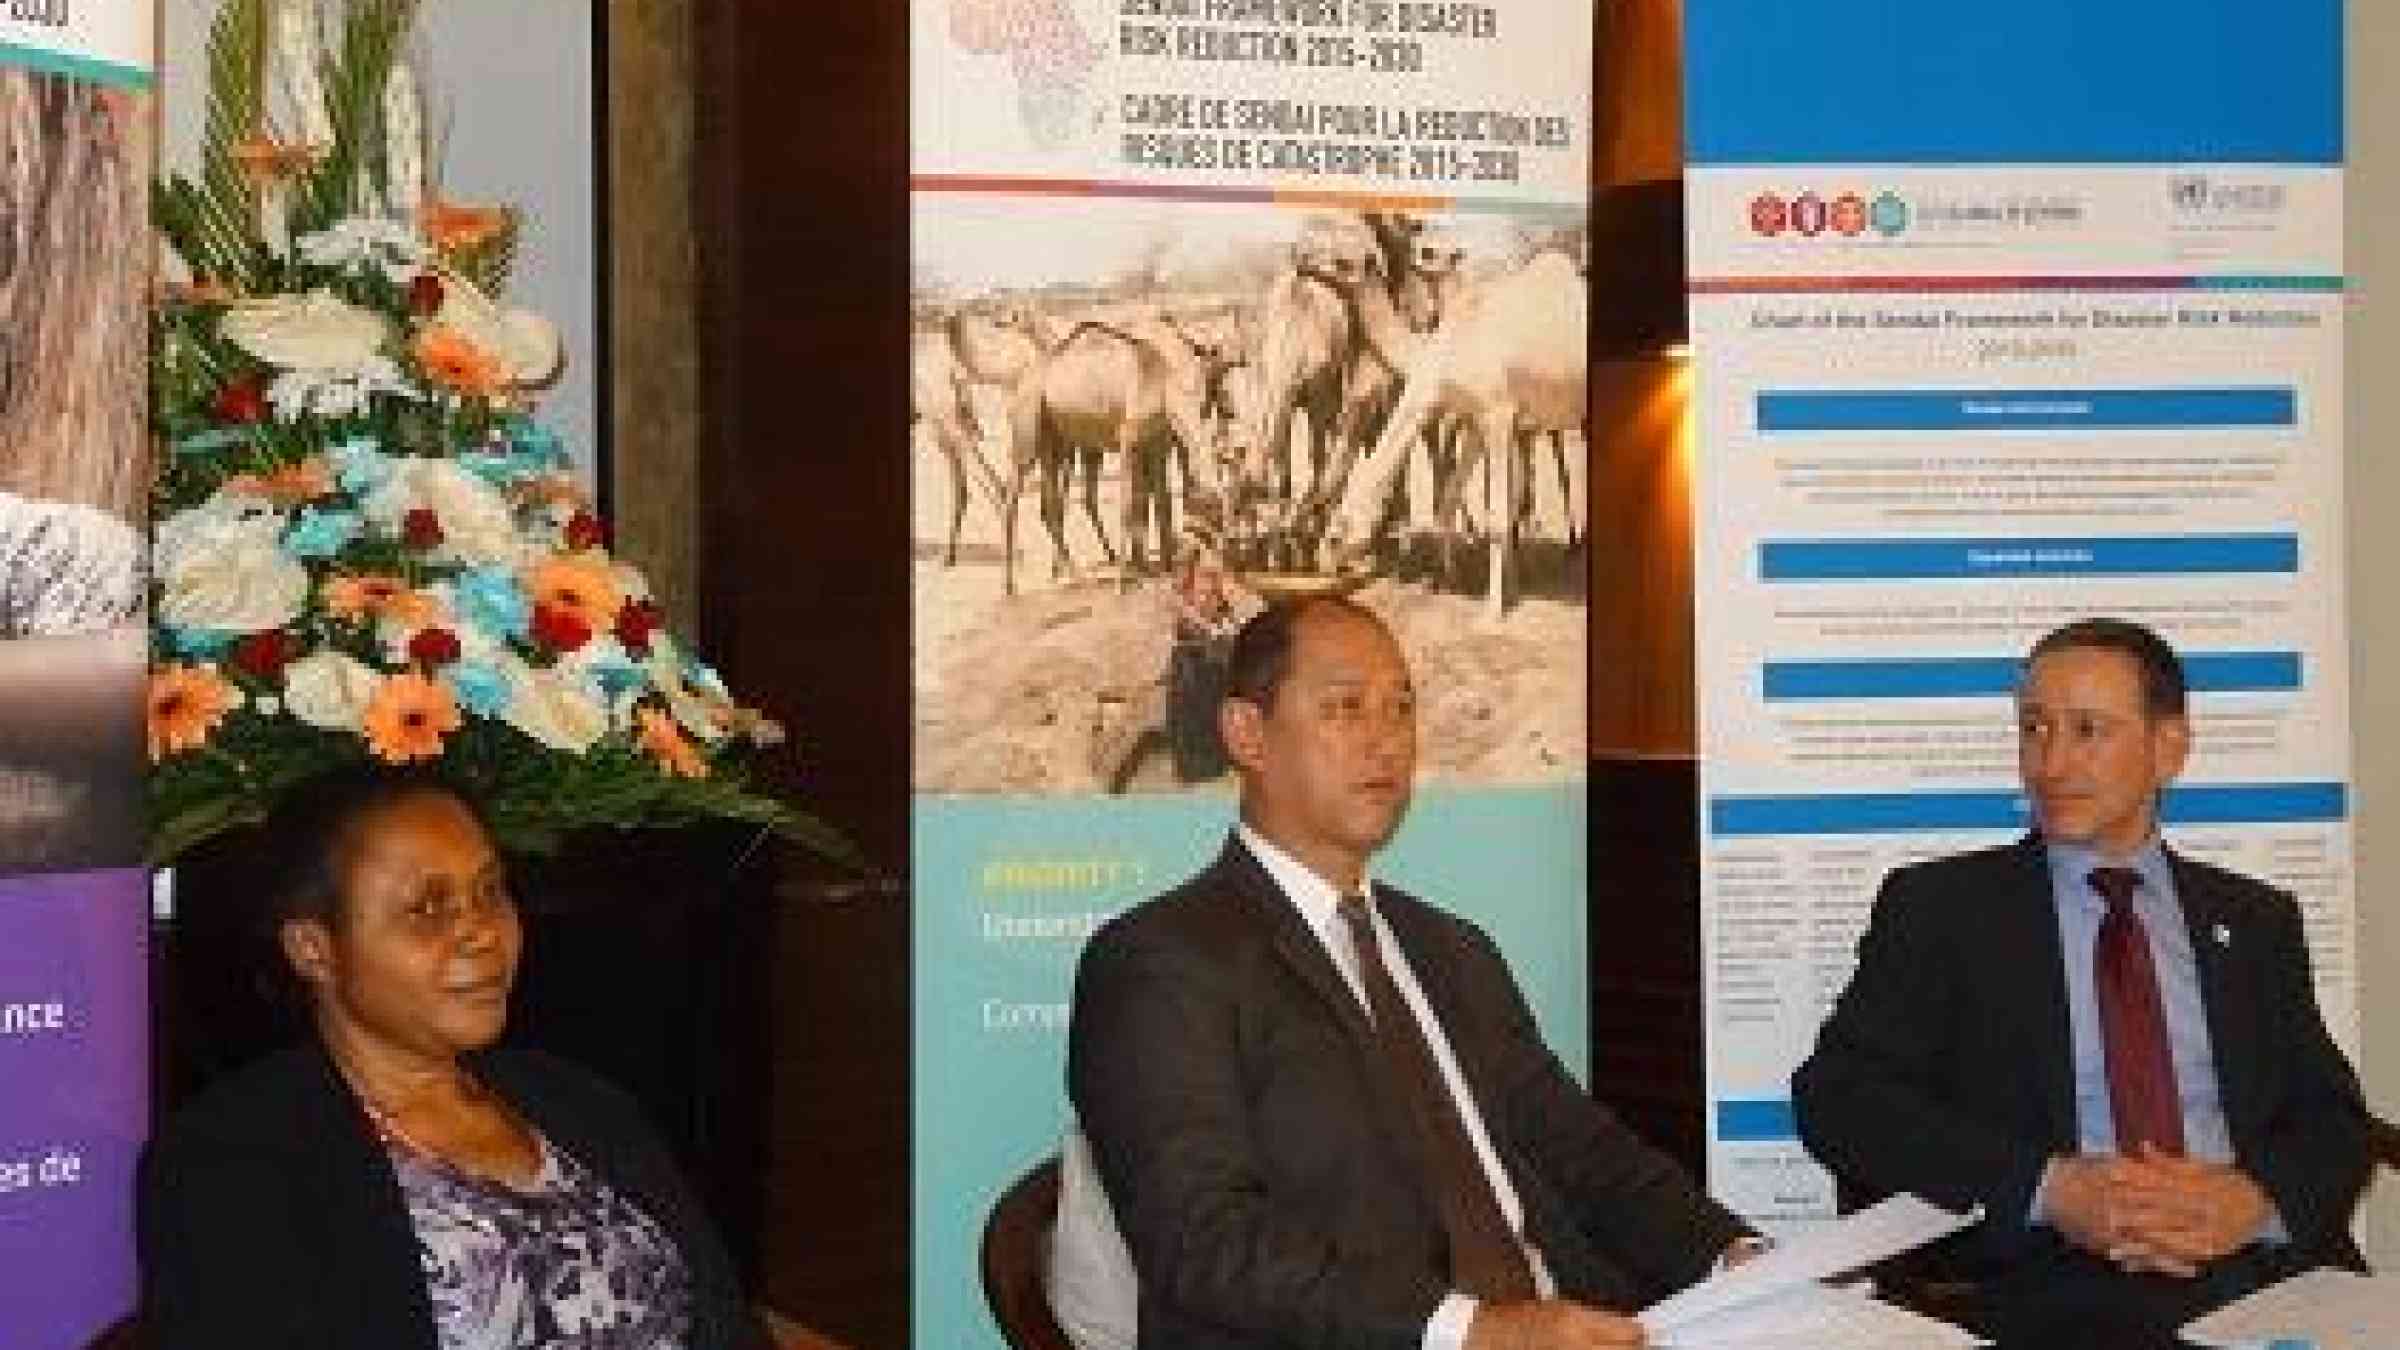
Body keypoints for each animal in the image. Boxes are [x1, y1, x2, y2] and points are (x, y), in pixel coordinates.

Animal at [1324, 246, 1584, 619]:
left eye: (1335, 536)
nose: (1326, 564)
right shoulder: (1476, 419)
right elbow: (1452, 499)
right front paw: (1452, 581)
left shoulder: (1498, 414)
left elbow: (1498, 516)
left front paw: (1492, 613)